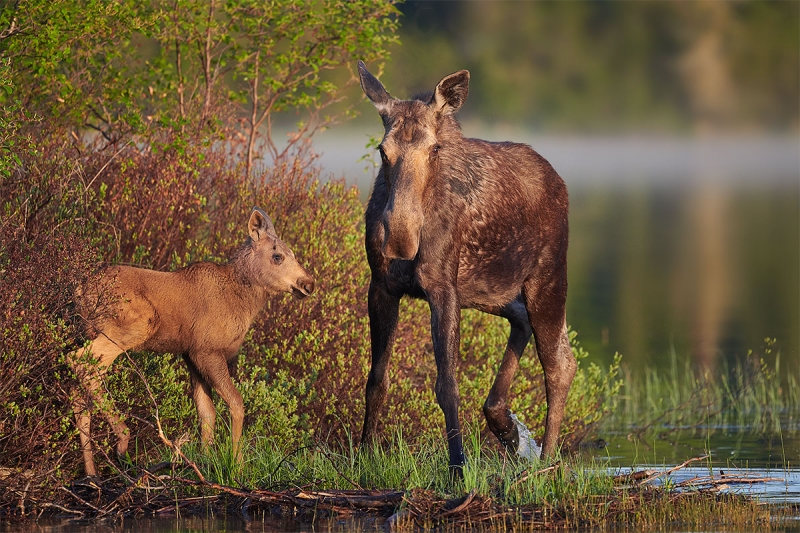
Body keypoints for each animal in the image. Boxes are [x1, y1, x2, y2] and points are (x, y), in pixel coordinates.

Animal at [69, 206, 312, 476]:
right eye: (277, 256)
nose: (308, 283)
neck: (245, 300)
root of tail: (80, 290)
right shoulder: (208, 350)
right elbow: (236, 403)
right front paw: (236, 466)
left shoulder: (191, 355)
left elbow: (206, 412)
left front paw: (205, 463)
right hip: (134, 325)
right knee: (79, 361)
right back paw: (122, 440)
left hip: (90, 332)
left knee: (79, 390)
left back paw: (91, 473)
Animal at [358, 60, 576, 472]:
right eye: (382, 150)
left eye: (434, 148)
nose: (400, 238)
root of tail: (560, 181)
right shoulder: (381, 286)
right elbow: (376, 379)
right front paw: (363, 454)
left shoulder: (443, 288)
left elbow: (447, 385)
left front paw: (457, 467)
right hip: (490, 291)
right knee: (526, 325)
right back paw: (506, 426)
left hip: (548, 278)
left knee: (559, 365)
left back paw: (545, 462)